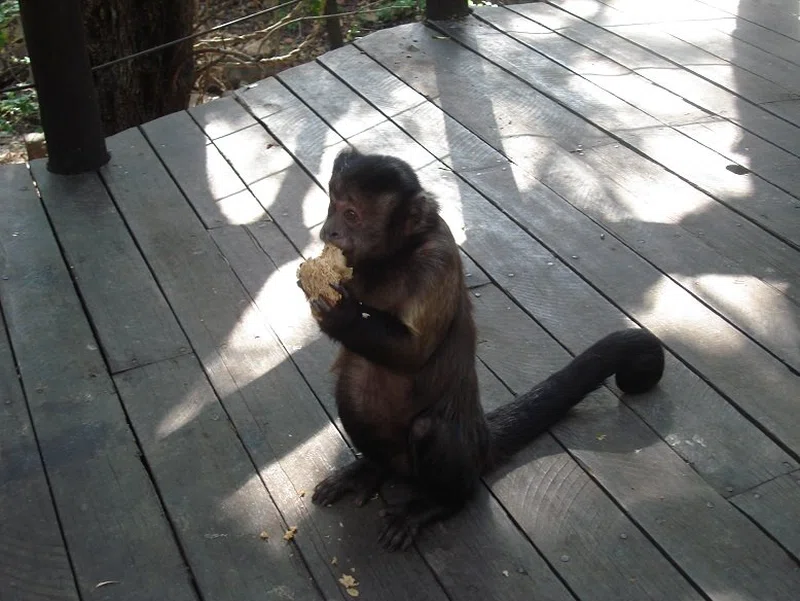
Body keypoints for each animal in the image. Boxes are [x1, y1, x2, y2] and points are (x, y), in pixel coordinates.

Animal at [302, 147, 665, 551]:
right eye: (332, 205)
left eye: (351, 214)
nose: (328, 231)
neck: (397, 255)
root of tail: (480, 438)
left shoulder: (436, 261)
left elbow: (415, 351)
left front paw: (342, 317)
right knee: (350, 393)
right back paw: (370, 469)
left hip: (455, 457)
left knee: (432, 432)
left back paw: (436, 504)